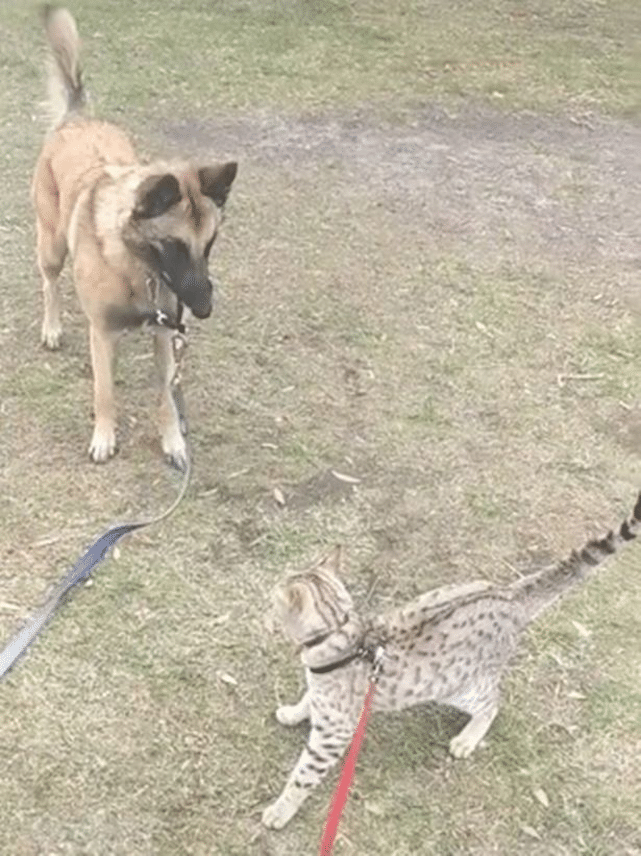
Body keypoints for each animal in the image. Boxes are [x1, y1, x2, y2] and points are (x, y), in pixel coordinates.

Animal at [32, 6, 238, 472]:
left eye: (210, 245)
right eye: (175, 246)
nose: (204, 310)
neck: (136, 265)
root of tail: (79, 119)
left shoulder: (164, 335)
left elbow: (166, 398)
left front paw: (173, 442)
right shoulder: (103, 332)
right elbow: (104, 392)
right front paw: (104, 437)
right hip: (52, 246)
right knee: (50, 282)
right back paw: (52, 326)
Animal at [262, 494, 640, 828]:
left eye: (276, 600)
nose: (270, 595)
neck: (344, 634)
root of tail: (509, 594)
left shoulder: (334, 733)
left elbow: (303, 776)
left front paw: (280, 811)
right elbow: (308, 698)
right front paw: (294, 712)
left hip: (457, 687)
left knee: (493, 702)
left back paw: (468, 738)